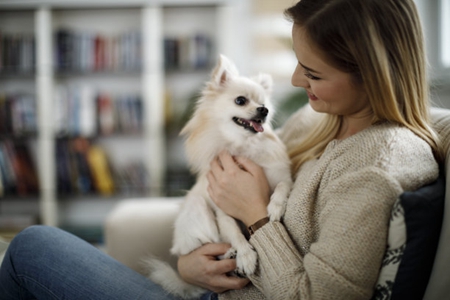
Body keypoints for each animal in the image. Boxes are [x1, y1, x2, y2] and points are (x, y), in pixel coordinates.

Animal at [144, 55, 292, 298]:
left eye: (264, 104)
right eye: (240, 100)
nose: (263, 110)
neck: (243, 146)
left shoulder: (282, 177)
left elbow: (282, 187)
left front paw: (275, 208)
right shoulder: (223, 212)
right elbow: (234, 232)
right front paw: (246, 256)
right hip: (198, 209)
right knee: (213, 244)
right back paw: (231, 255)